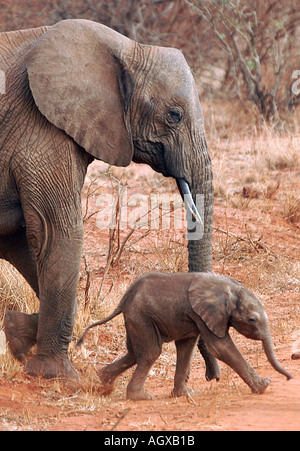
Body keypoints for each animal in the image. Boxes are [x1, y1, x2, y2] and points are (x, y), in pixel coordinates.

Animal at [0, 19, 216, 380]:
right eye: (174, 115)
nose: (212, 375)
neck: (127, 48)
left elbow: (18, 239)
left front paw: (19, 334)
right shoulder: (39, 128)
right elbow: (57, 232)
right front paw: (58, 375)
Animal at [77, 274, 290, 400]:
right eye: (252, 320)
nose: (289, 378)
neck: (230, 290)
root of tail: (123, 300)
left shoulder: (194, 316)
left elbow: (187, 347)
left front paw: (184, 395)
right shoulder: (204, 314)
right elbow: (220, 348)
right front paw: (264, 387)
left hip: (136, 318)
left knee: (134, 352)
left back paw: (103, 381)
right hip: (141, 317)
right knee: (150, 353)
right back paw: (141, 397)